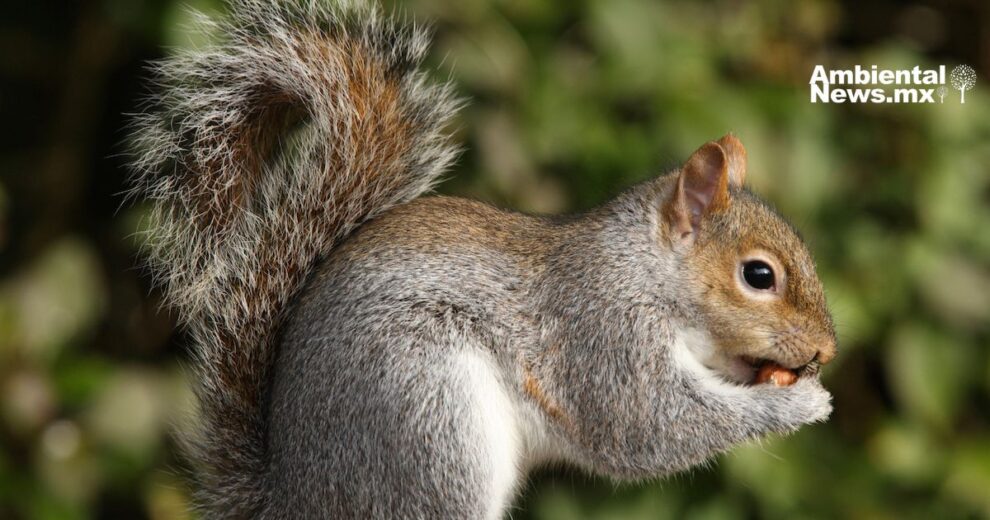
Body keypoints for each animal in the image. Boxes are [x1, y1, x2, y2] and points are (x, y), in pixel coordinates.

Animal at [124, 2, 836, 516]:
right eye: (758, 276)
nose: (826, 350)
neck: (642, 270)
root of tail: (295, 499)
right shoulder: (601, 334)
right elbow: (648, 426)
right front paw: (800, 405)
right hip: (427, 419)